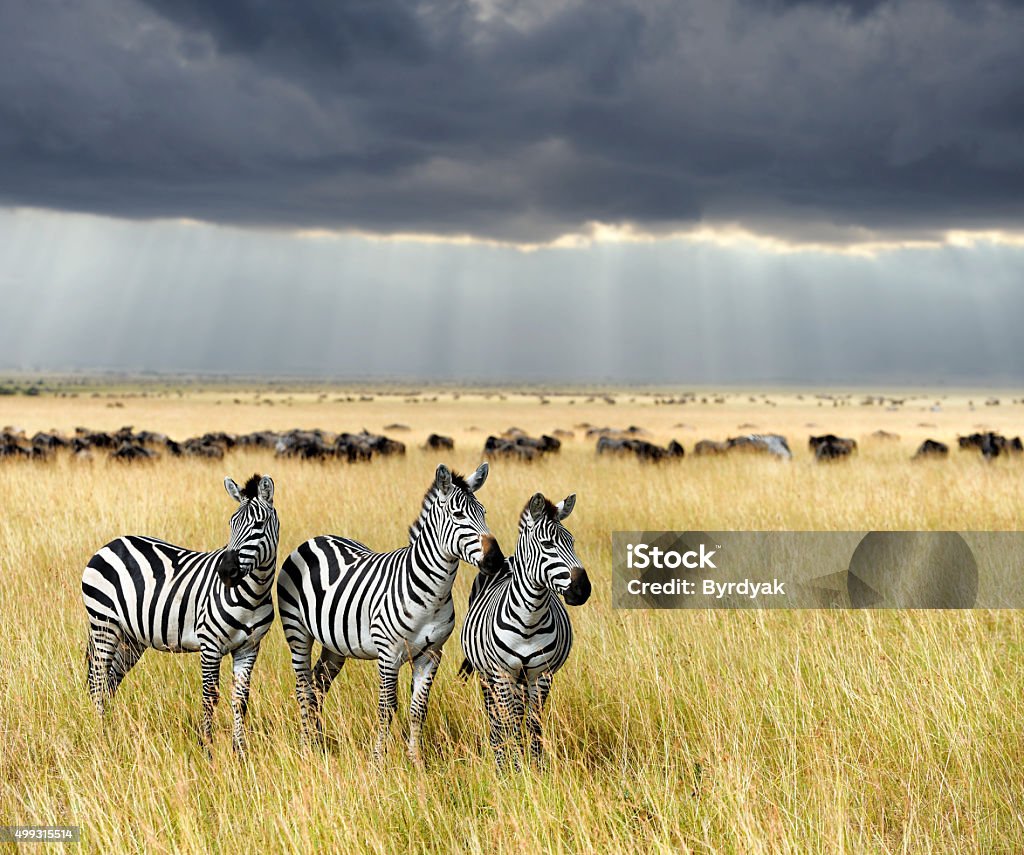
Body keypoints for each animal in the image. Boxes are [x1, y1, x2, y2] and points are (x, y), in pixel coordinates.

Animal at [81, 475, 280, 757]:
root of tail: (111, 543)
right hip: (103, 623)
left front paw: (240, 752)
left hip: (131, 637)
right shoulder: (210, 644)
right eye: (231, 524)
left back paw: (110, 735)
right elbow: (209, 697)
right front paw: (207, 749)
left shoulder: (249, 648)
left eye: (259, 525)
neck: (253, 594)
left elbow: (240, 700)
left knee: (109, 683)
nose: (226, 571)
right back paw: (100, 739)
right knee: (97, 682)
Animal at [276, 464, 503, 765]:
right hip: (297, 632)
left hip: (334, 644)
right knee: (303, 687)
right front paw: (378, 761)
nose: (496, 560)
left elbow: (418, 709)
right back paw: (305, 748)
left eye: (484, 512)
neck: (432, 594)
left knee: (318, 684)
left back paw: (317, 741)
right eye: (458, 515)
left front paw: (416, 761)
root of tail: (315, 539)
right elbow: (387, 707)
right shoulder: (388, 654)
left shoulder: (432, 655)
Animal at [458, 491, 593, 774]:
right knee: (496, 717)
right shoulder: (502, 674)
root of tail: (507, 558)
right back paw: (499, 753)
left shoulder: (541, 674)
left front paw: (536, 767)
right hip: (487, 676)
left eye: (572, 542)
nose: (582, 589)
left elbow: (533, 723)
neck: (529, 620)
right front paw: (511, 768)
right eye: (547, 544)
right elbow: (508, 721)